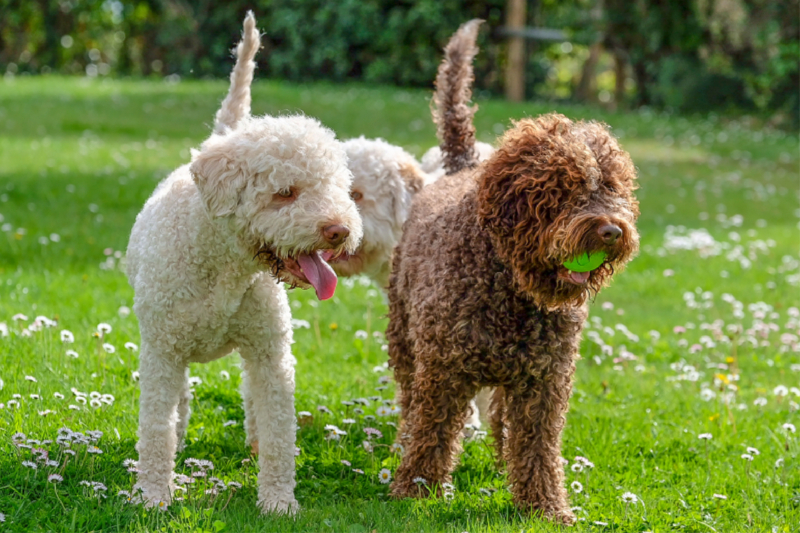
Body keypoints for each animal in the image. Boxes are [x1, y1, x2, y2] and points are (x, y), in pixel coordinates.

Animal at [126, 11, 362, 512]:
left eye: (337, 186)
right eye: (285, 192)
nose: (339, 231)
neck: (222, 264)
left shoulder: (270, 354)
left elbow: (278, 432)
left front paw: (278, 501)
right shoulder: (162, 352)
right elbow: (156, 429)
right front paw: (153, 494)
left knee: (252, 401)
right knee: (179, 403)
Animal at [384, 20, 640, 524]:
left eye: (614, 186)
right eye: (565, 188)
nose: (611, 231)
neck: (509, 288)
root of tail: (461, 167)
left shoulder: (543, 381)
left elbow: (538, 447)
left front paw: (545, 506)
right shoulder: (443, 372)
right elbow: (431, 434)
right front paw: (415, 491)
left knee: (503, 417)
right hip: (404, 339)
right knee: (410, 404)